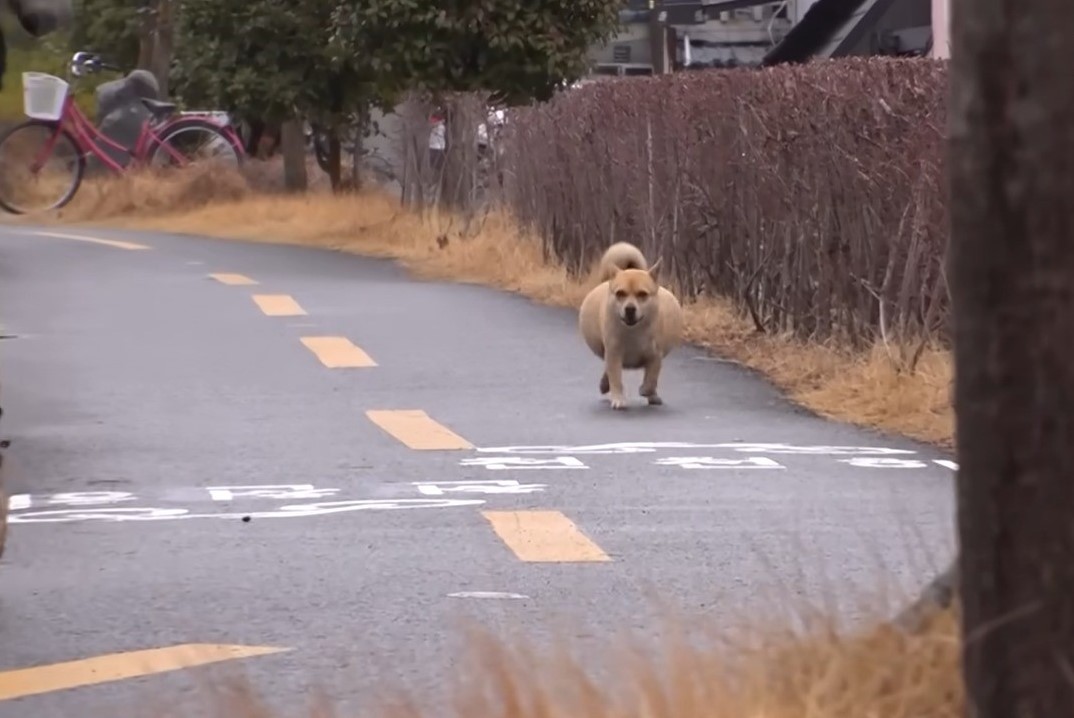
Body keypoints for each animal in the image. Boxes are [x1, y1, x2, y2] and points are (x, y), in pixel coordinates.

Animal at [575, 240, 683, 407]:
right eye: (620, 293)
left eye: (643, 294)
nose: (630, 309)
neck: (633, 332)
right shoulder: (613, 354)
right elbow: (616, 378)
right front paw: (618, 398)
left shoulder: (655, 356)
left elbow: (651, 379)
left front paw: (646, 390)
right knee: (608, 370)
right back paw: (605, 384)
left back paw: (653, 396)